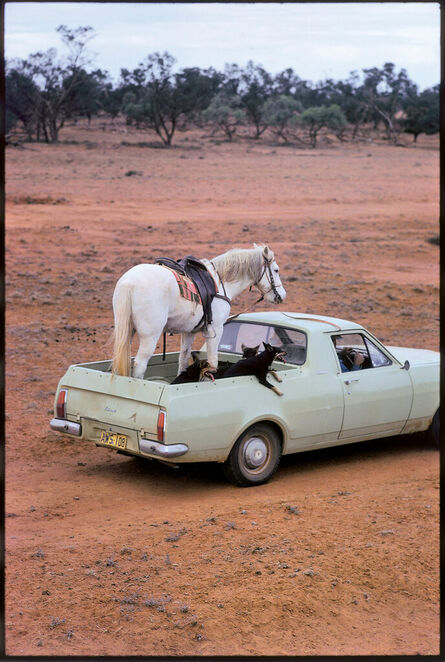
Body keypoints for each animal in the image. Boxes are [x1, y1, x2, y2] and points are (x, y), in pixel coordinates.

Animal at [112, 243, 286, 378]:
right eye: (276, 270)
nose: (282, 295)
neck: (221, 282)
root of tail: (128, 283)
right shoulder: (216, 328)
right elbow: (213, 361)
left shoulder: (189, 332)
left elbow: (183, 359)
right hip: (150, 335)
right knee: (140, 365)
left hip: (127, 330)